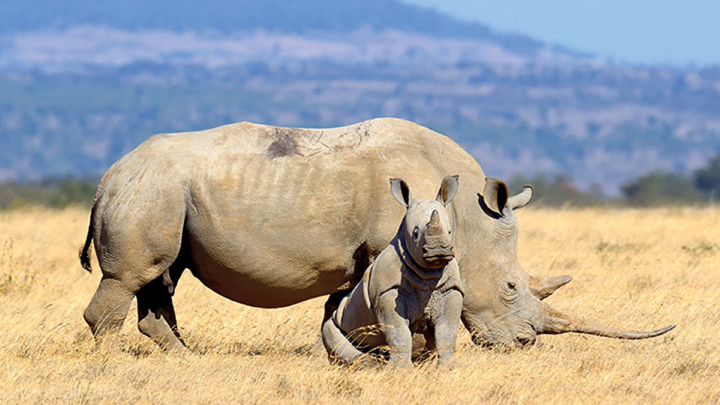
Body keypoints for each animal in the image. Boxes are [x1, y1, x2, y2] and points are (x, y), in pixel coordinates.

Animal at [324, 174, 464, 366]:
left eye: (449, 232)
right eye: (415, 233)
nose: (439, 251)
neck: (429, 272)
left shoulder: (451, 289)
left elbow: (446, 331)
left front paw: (449, 368)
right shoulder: (387, 291)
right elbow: (398, 333)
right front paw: (401, 369)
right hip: (337, 319)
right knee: (332, 333)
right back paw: (370, 364)